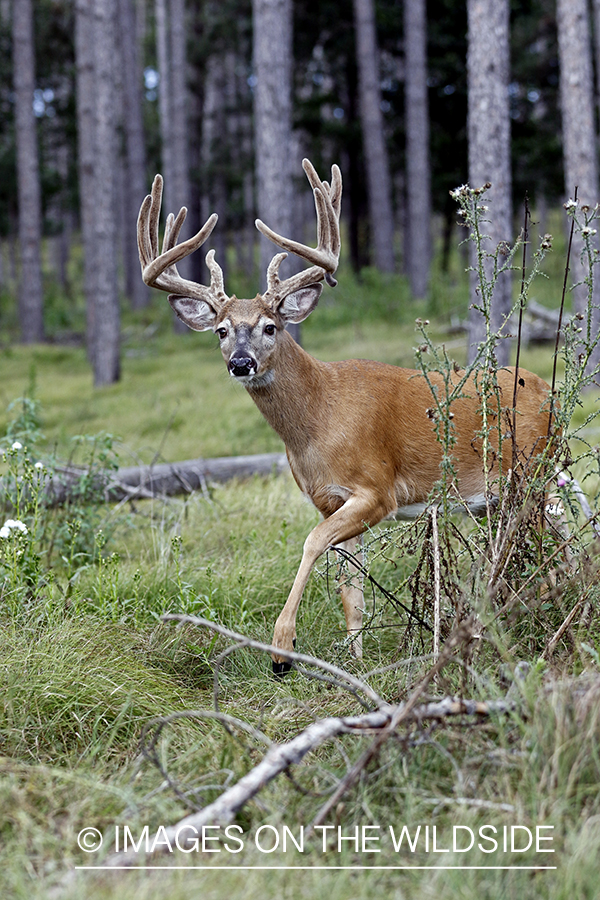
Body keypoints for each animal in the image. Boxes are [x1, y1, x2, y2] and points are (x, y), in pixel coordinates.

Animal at [138, 158, 556, 676]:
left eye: (270, 326)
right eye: (221, 330)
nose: (241, 363)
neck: (317, 422)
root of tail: (550, 391)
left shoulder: (377, 489)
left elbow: (312, 544)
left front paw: (282, 649)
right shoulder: (329, 499)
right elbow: (349, 586)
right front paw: (354, 660)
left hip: (530, 476)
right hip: (502, 498)